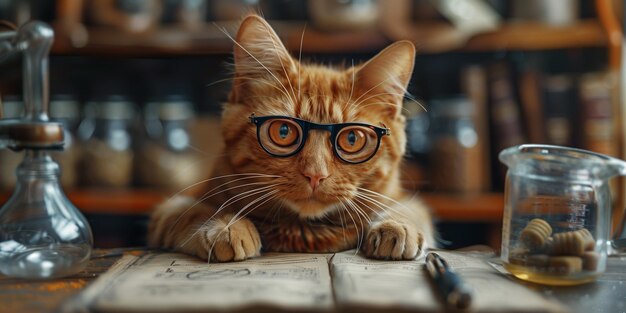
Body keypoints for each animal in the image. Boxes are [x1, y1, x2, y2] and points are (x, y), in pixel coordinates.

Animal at [146, 14, 432, 260]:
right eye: (283, 132)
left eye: (352, 139)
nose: (315, 175)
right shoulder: (168, 211)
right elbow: (192, 211)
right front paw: (225, 225)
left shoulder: (403, 198)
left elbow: (410, 209)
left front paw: (396, 225)